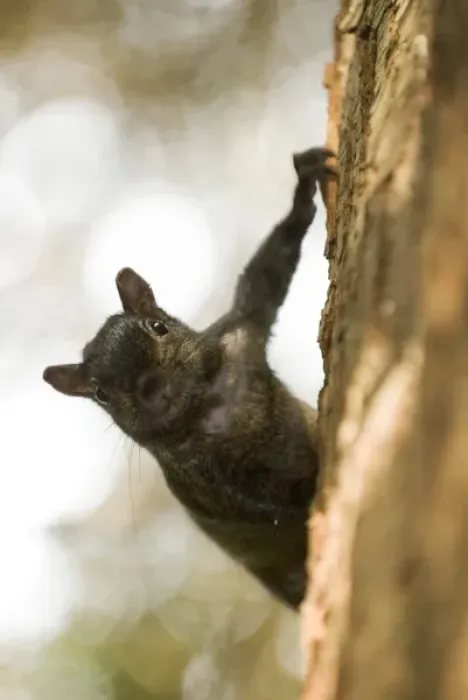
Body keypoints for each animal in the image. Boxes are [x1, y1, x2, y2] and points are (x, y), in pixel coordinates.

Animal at [43, 146, 336, 610]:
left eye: (157, 326)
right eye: (101, 394)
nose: (148, 387)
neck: (206, 409)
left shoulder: (239, 335)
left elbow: (265, 277)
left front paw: (303, 191)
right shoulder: (203, 484)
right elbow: (263, 505)